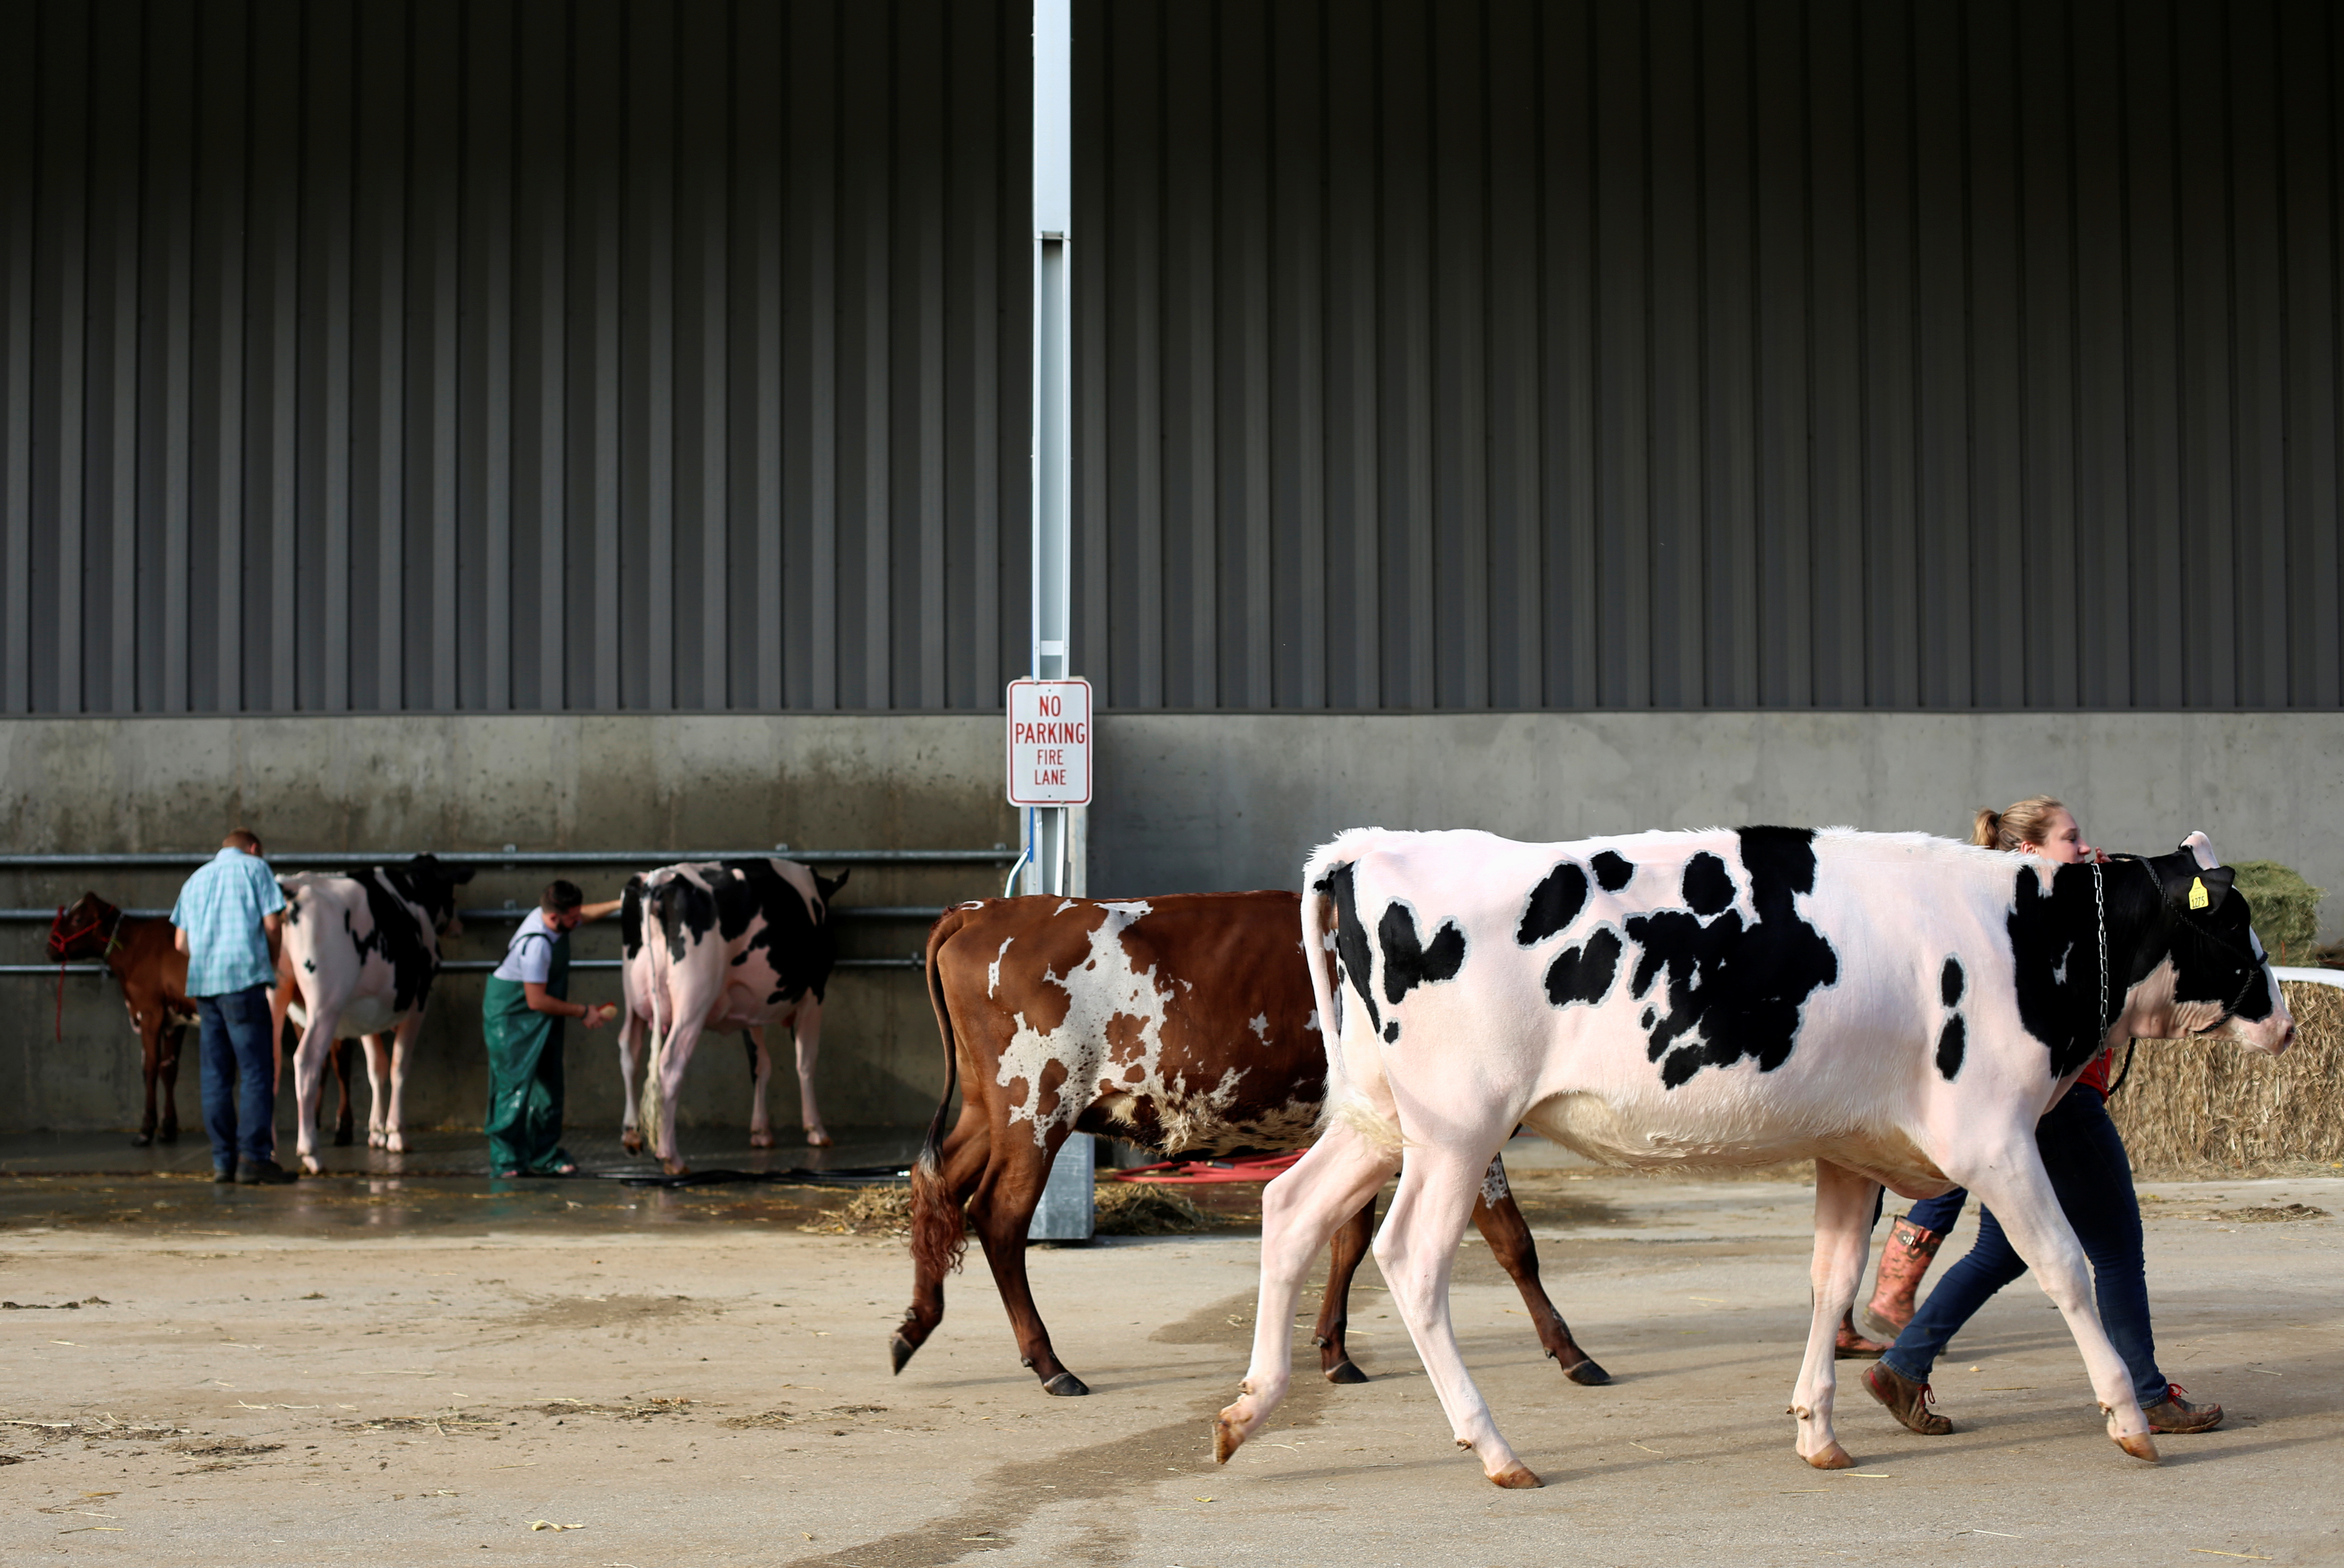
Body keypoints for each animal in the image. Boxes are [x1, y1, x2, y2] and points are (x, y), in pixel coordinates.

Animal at [271, 854, 476, 1173]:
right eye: (450, 891)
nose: (459, 925)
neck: (413, 891)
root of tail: (294, 886)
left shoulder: (366, 1013)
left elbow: (376, 1069)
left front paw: (378, 1132)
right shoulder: (418, 1007)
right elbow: (399, 1067)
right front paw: (396, 1134)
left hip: (273, 997)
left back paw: (270, 1154)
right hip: (326, 1005)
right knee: (306, 1062)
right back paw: (311, 1153)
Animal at [619, 858, 846, 1174]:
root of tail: (659, 879)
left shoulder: (750, 1010)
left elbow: (761, 1065)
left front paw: (761, 1132)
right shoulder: (814, 995)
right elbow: (806, 1062)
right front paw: (816, 1130)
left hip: (633, 999)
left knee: (630, 1052)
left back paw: (631, 1135)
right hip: (694, 998)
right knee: (669, 1065)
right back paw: (671, 1157)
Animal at [893, 892, 1609, 1398]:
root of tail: (983, 910)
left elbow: (1350, 1238)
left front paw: (1334, 1351)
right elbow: (1513, 1239)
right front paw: (1574, 1353)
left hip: (987, 1109)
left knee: (938, 1185)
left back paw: (917, 1323)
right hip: (1035, 1107)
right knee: (999, 1217)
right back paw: (1048, 1362)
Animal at [1213, 827, 2294, 1489]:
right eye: (2233, 920)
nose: (2285, 1021)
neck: (2031, 935)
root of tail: (1372, 847)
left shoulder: (1854, 1148)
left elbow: (1831, 1281)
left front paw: (1818, 1429)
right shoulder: (1992, 1135)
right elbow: (2066, 1266)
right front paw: (2129, 1419)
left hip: (1378, 1121)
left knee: (1291, 1210)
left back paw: (1248, 1408)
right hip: (1456, 1126)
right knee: (1409, 1257)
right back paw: (1493, 1447)